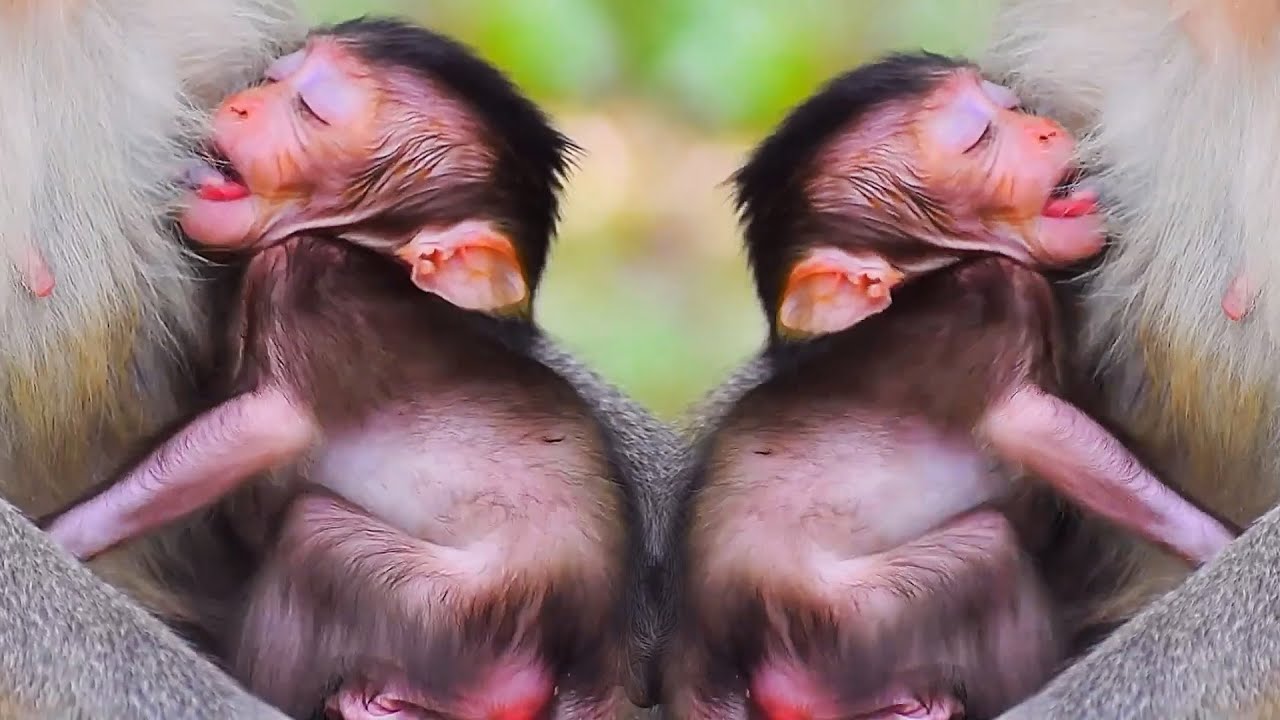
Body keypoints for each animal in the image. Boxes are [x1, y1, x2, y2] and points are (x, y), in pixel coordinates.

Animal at [42, 17, 653, 719]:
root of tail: (595, 652)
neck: (362, 245)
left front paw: (64, 535)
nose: (241, 105)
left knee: (315, 542)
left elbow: (266, 425)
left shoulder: (305, 277)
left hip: (463, 613)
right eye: (273, 80)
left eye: (312, 110)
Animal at [663, 52, 1238, 720]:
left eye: (1009, 108)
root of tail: (705, 649)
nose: (1045, 131)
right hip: (843, 620)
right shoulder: (990, 303)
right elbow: (1031, 426)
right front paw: (1214, 542)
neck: (933, 269)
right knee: (987, 556)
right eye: (978, 138)